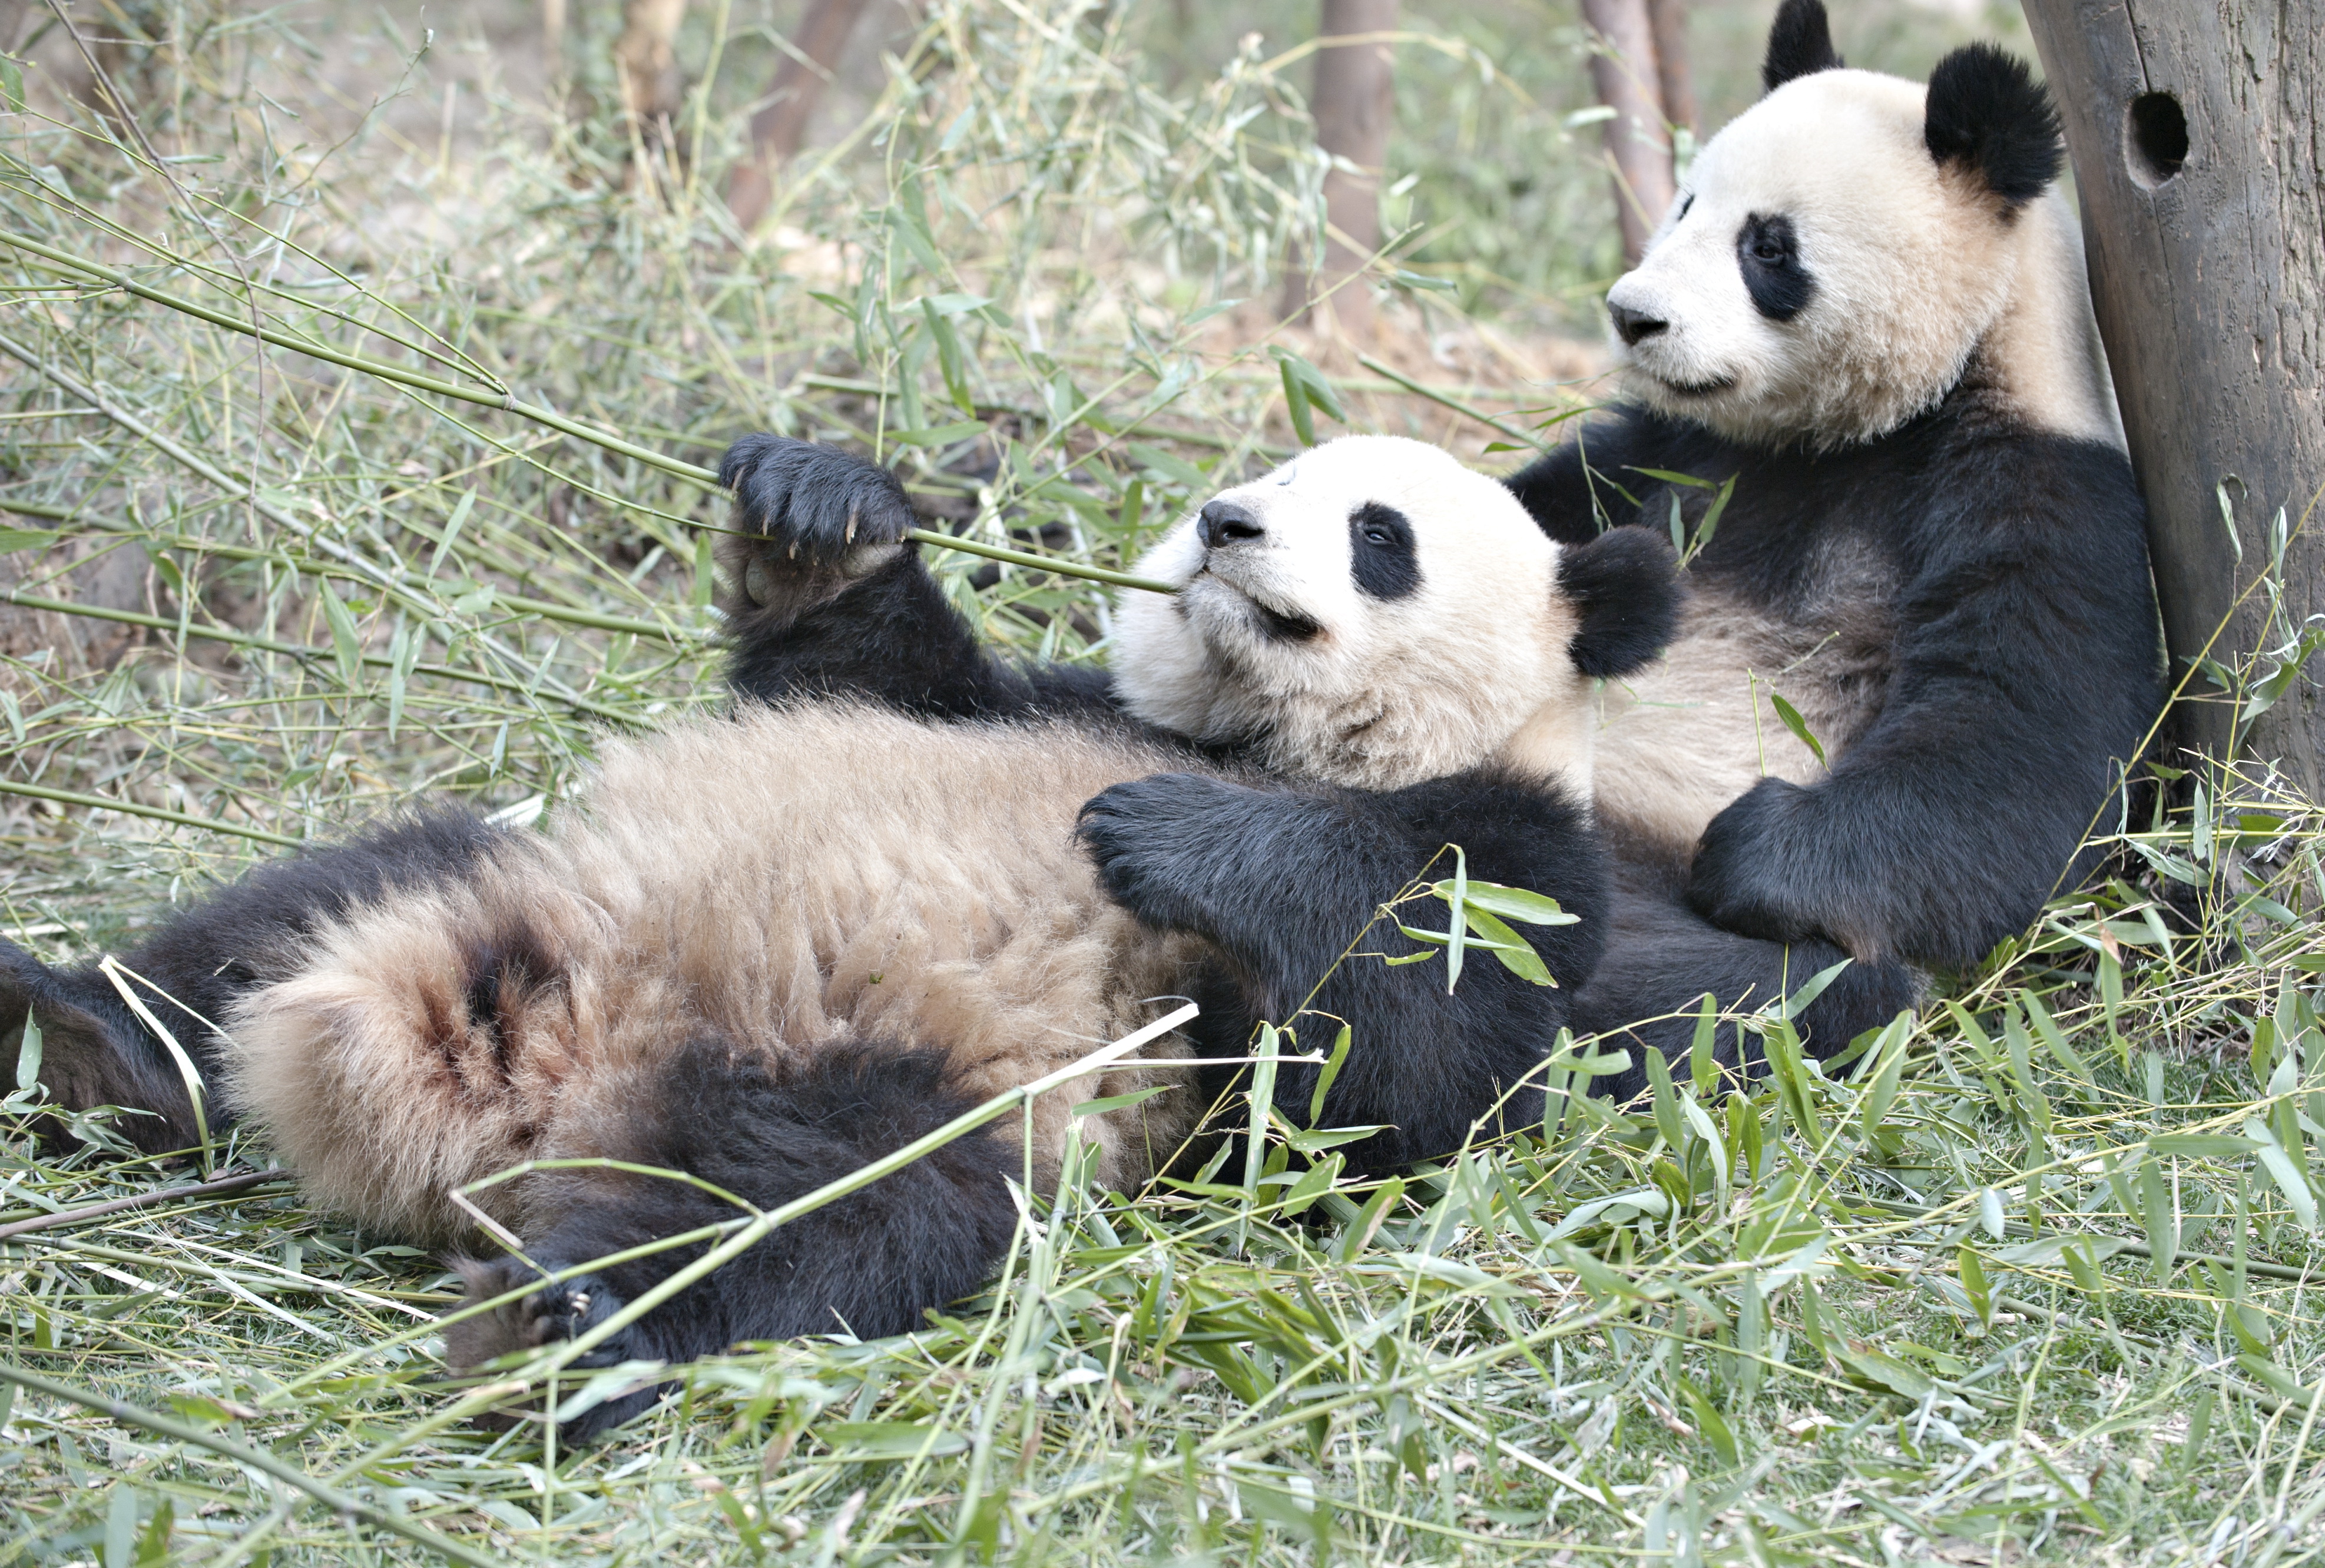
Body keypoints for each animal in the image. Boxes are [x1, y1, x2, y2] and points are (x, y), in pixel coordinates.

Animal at [0, 434, 1674, 1440]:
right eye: (1260, 470)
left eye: (1380, 532)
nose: (1224, 523)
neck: (1260, 739)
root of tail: (564, 1055)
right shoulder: (1041, 701)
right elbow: (881, 673)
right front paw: (823, 519)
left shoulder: (1538, 869)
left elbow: (1397, 1067)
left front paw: (1184, 843)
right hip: (531, 865)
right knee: (280, 919)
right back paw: (83, 1035)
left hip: (899, 1084)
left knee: (816, 1215)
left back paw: (566, 1318)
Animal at [1497, 0, 2167, 1078]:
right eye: (1686, 204)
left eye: (1768, 247)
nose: (1635, 316)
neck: (1856, 432)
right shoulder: (1678, 458)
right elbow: (1549, 506)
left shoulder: (2043, 483)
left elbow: (2017, 737)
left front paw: (1756, 846)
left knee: (1641, 971)